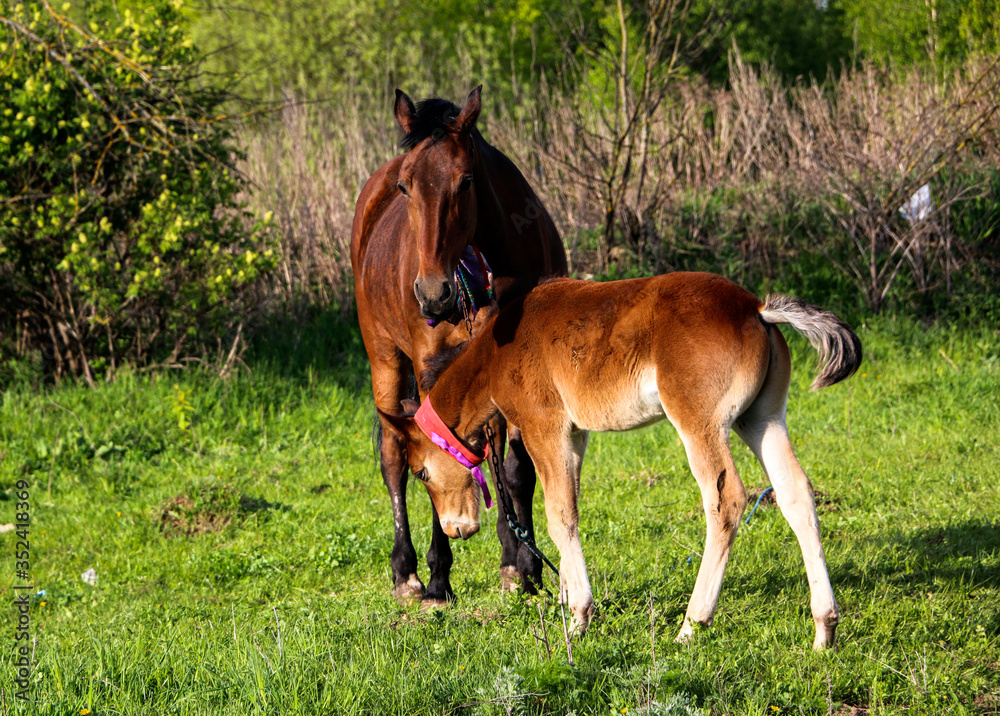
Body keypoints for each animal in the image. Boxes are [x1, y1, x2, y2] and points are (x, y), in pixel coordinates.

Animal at [351, 86, 568, 606]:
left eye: (465, 182)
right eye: (405, 187)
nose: (433, 294)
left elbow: (515, 467)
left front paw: (525, 567)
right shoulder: (431, 367)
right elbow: (433, 452)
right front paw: (438, 578)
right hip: (384, 355)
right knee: (394, 455)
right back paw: (406, 572)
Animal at [379, 272, 862, 649]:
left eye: (421, 472)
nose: (455, 529)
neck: (497, 350)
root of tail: (755, 309)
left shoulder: (543, 428)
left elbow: (558, 515)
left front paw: (579, 618)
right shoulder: (575, 435)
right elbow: (568, 511)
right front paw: (565, 596)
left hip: (700, 422)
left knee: (726, 501)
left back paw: (692, 624)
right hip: (761, 418)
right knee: (796, 493)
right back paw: (824, 629)